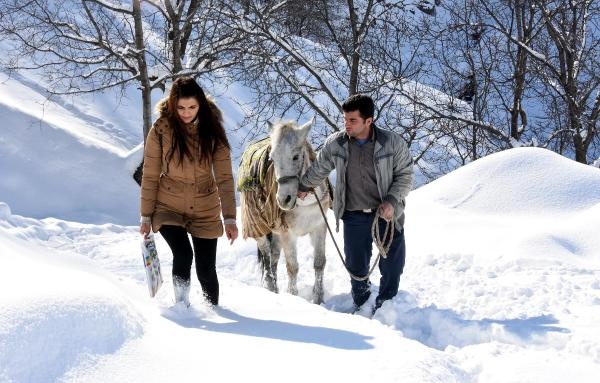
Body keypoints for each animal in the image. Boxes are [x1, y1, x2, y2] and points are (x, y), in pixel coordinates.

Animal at [240, 118, 332, 304]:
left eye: (295, 156)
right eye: (272, 158)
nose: (284, 200)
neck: (305, 202)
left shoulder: (319, 227)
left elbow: (319, 263)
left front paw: (318, 299)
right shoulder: (288, 234)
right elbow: (292, 267)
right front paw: (292, 295)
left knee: (274, 256)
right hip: (259, 228)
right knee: (266, 256)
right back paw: (270, 286)